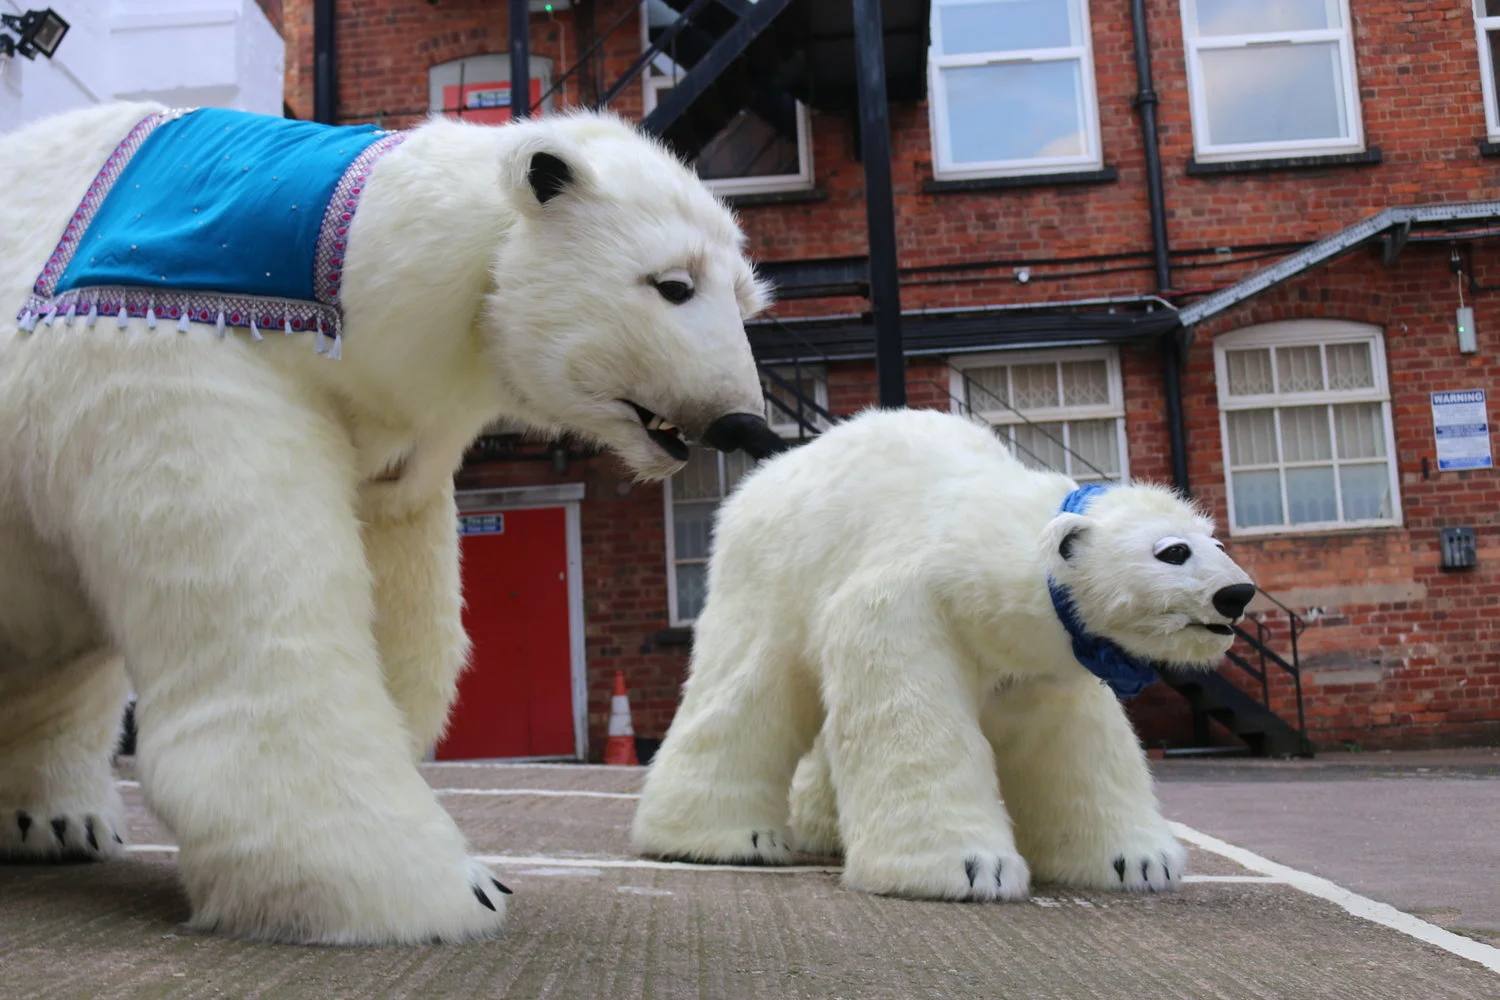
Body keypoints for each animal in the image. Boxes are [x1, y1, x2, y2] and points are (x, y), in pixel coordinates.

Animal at [0, 102, 784, 944]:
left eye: (745, 300)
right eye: (673, 285)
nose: (743, 423)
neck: (323, 259)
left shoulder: (396, 450)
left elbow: (407, 612)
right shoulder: (170, 361)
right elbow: (268, 612)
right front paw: (433, 891)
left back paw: (56, 822)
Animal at [630, 407, 1256, 901]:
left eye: (1215, 542)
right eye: (1172, 552)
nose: (1238, 593)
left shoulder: (1046, 664)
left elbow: (1077, 744)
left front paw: (1139, 861)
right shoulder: (906, 600)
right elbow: (912, 718)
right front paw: (970, 867)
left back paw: (819, 829)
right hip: (771, 576)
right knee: (747, 688)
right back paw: (730, 839)